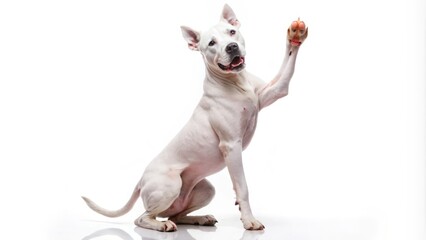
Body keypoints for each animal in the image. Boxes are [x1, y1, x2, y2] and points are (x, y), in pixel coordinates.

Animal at [82, 3, 306, 232]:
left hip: (206, 190)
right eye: (211, 43)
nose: (232, 47)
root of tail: (141, 180)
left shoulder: (276, 91)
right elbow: (242, 186)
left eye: (232, 32)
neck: (235, 82)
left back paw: (201, 218)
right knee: (142, 218)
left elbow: (286, 68)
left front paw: (295, 35)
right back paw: (162, 225)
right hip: (170, 184)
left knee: (177, 214)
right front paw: (249, 220)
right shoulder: (231, 145)